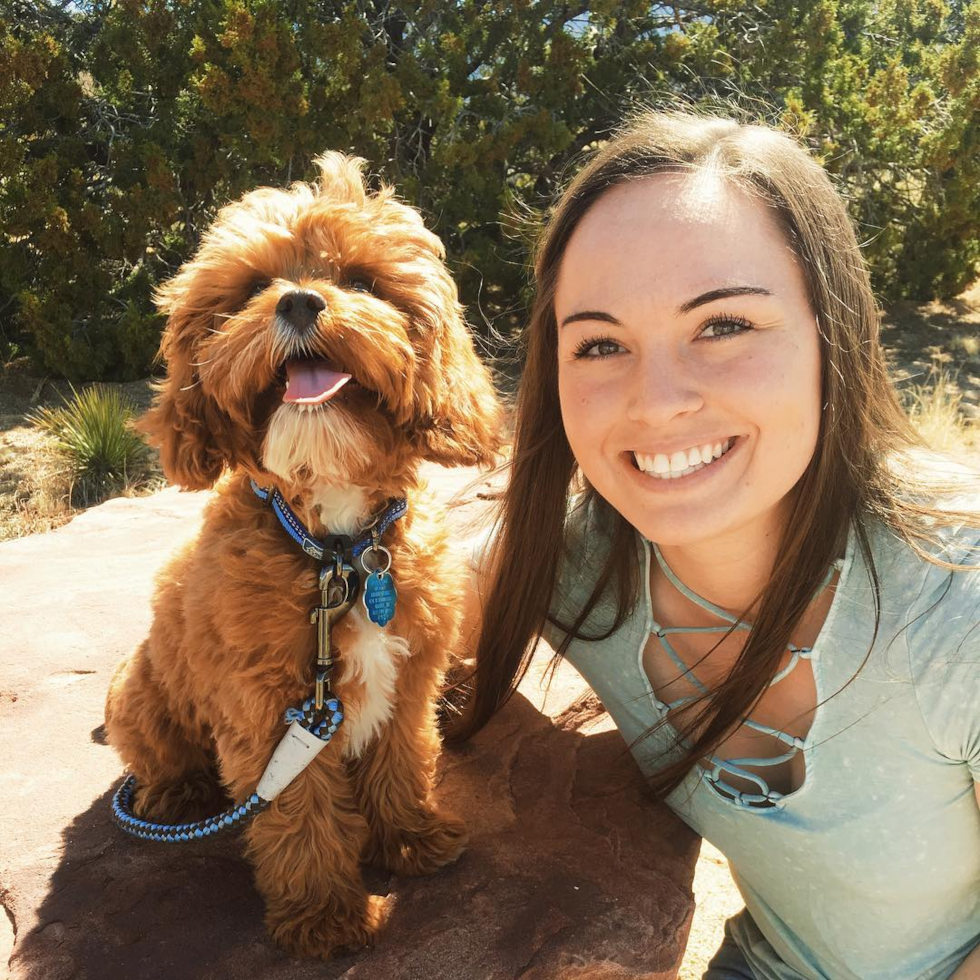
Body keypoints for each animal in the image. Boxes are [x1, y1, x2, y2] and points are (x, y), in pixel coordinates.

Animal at [104, 157, 502, 960]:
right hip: (141, 694)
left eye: (362, 279)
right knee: (157, 757)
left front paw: (409, 838)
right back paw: (177, 794)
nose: (297, 301)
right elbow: (300, 810)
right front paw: (325, 916)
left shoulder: (412, 673)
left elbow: (401, 756)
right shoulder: (269, 709)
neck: (338, 550)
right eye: (253, 285)